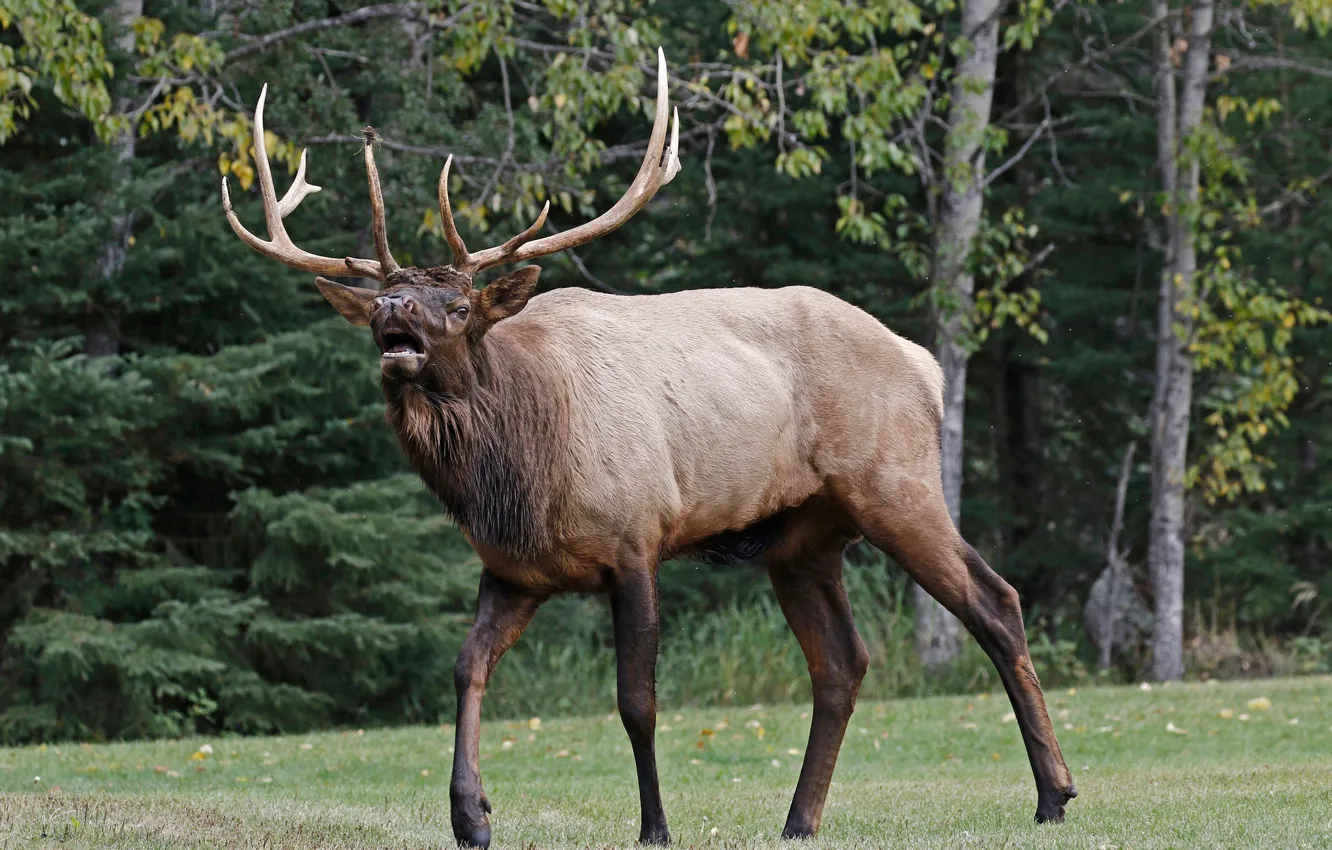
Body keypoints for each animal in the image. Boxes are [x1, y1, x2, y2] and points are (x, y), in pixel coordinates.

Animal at [221, 49, 1076, 848]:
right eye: (385, 299)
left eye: (458, 305)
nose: (393, 311)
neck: (517, 471)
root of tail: (925, 364)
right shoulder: (513, 570)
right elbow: (466, 667)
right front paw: (471, 817)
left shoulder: (637, 538)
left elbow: (637, 701)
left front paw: (655, 825)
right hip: (803, 537)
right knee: (842, 661)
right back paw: (800, 819)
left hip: (895, 483)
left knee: (995, 602)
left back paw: (1054, 794)